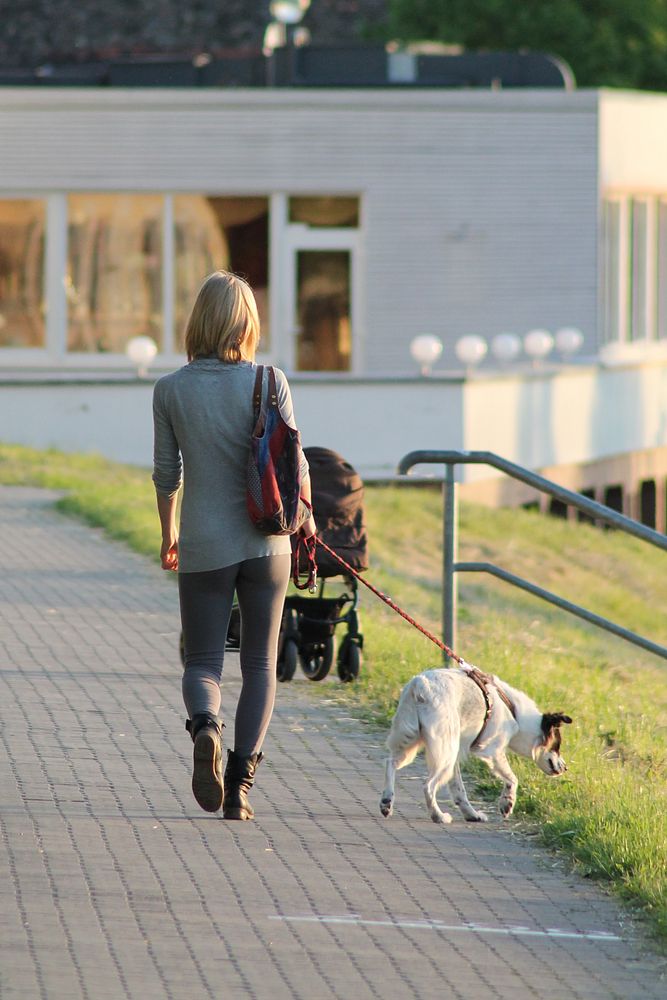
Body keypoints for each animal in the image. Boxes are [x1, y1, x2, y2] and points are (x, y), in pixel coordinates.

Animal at [378, 664, 572, 820]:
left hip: (413, 743)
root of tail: (420, 685)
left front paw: (471, 814)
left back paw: (387, 801)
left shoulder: (457, 756)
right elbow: (512, 778)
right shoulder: (493, 750)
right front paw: (507, 802)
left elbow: (459, 791)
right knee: (428, 786)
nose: (565, 768)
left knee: (390, 762)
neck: (514, 711)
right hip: (444, 753)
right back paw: (438, 816)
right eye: (557, 746)